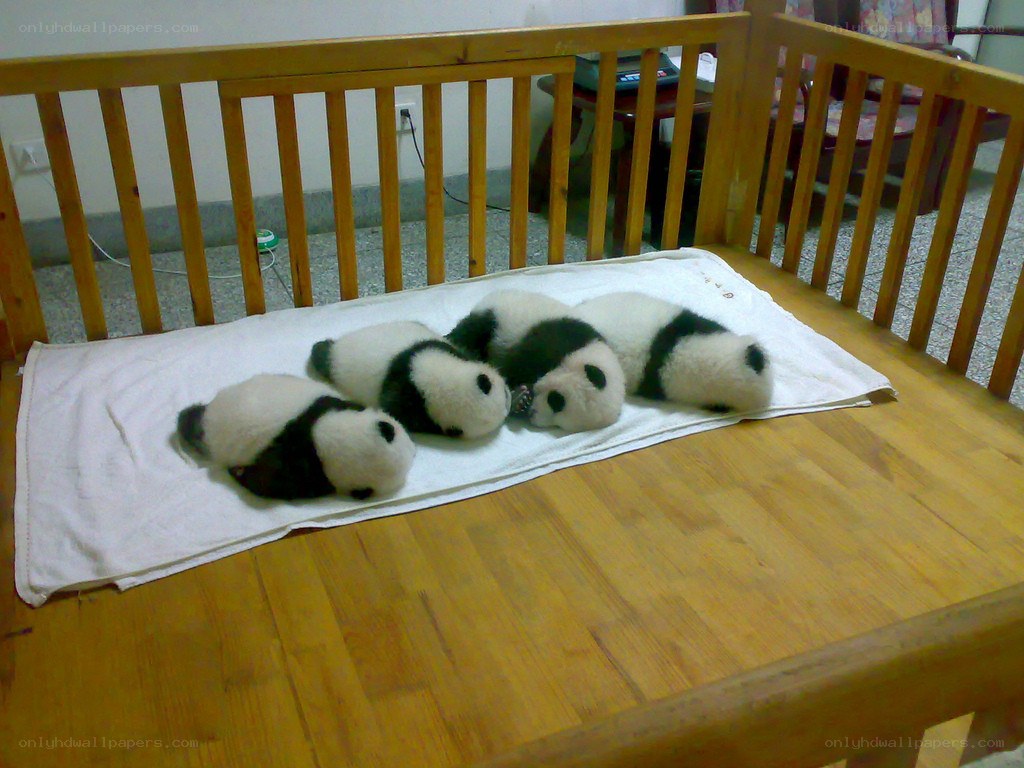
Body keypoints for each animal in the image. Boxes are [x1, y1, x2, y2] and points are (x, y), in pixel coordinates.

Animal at [446, 289, 626, 433]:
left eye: (560, 425)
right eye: (557, 400)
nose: (533, 414)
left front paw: (521, 400)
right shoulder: (556, 340)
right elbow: (519, 365)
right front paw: (518, 398)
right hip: (495, 317)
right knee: (472, 331)